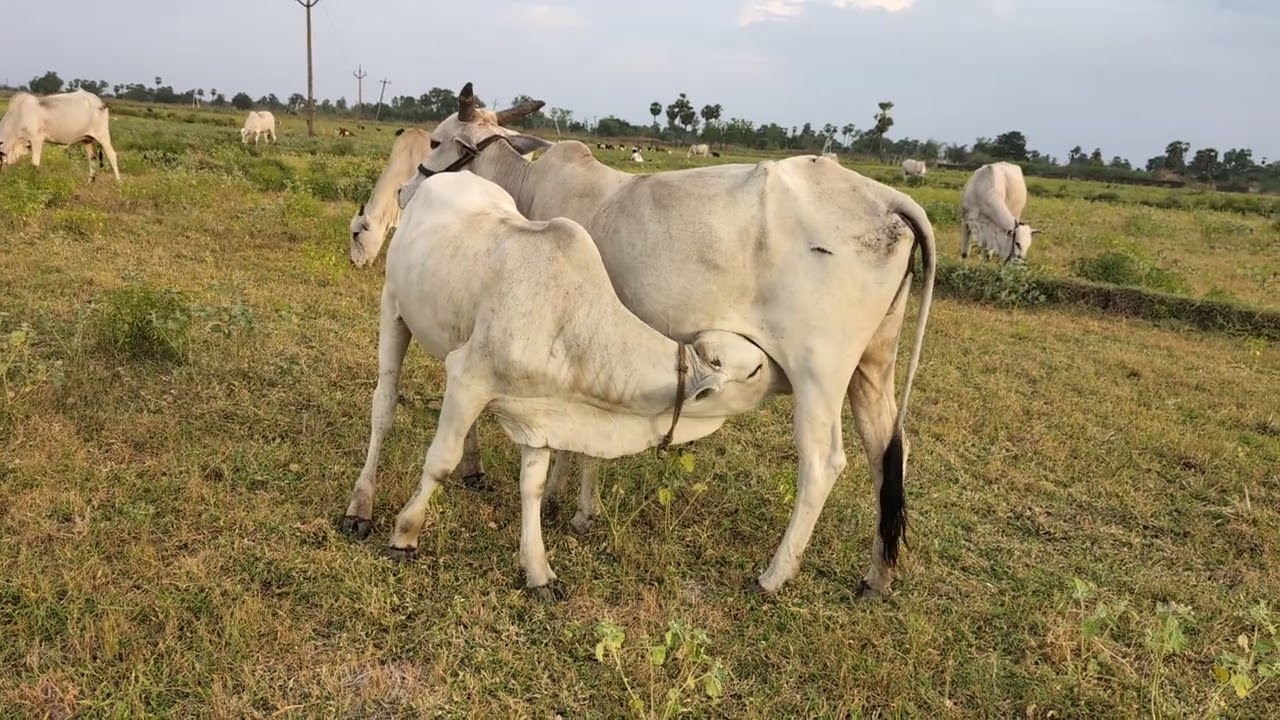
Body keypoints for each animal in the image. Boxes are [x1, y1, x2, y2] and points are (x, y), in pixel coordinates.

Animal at [343, 170, 779, 599]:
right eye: (754, 370)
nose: (783, 371)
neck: (571, 322)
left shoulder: (536, 411)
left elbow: (532, 486)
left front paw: (538, 571)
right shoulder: (468, 378)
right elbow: (439, 462)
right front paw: (405, 535)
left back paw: (474, 469)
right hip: (393, 308)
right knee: (384, 407)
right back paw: (360, 506)